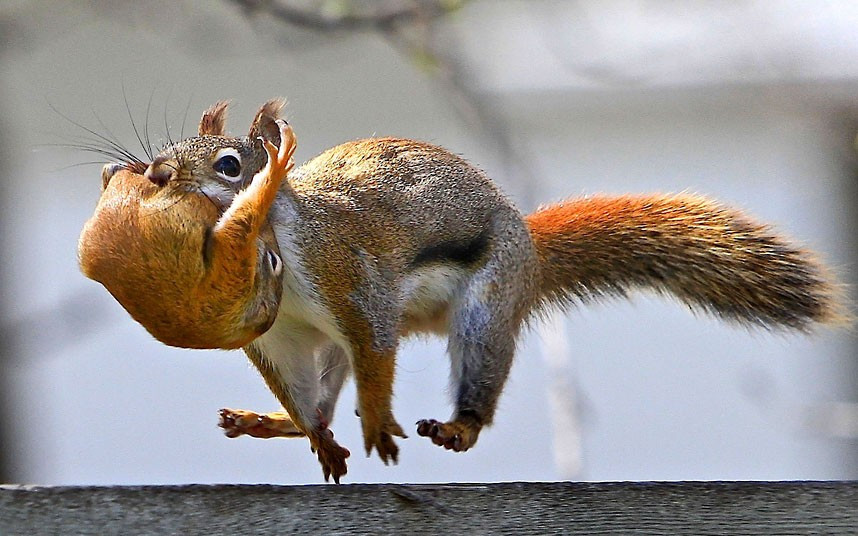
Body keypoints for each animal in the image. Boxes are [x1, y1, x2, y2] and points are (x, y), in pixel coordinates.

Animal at [78, 99, 846, 483]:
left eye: (231, 165)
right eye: (170, 150)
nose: (152, 174)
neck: (276, 249)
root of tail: (530, 251)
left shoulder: (351, 280)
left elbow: (375, 349)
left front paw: (377, 425)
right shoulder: (285, 336)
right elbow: (301, 391)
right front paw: (320, 436)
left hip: (486, 302)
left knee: (467, 372)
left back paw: (457, 426)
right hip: (335, 345)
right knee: (322, 392)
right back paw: (275, 424)